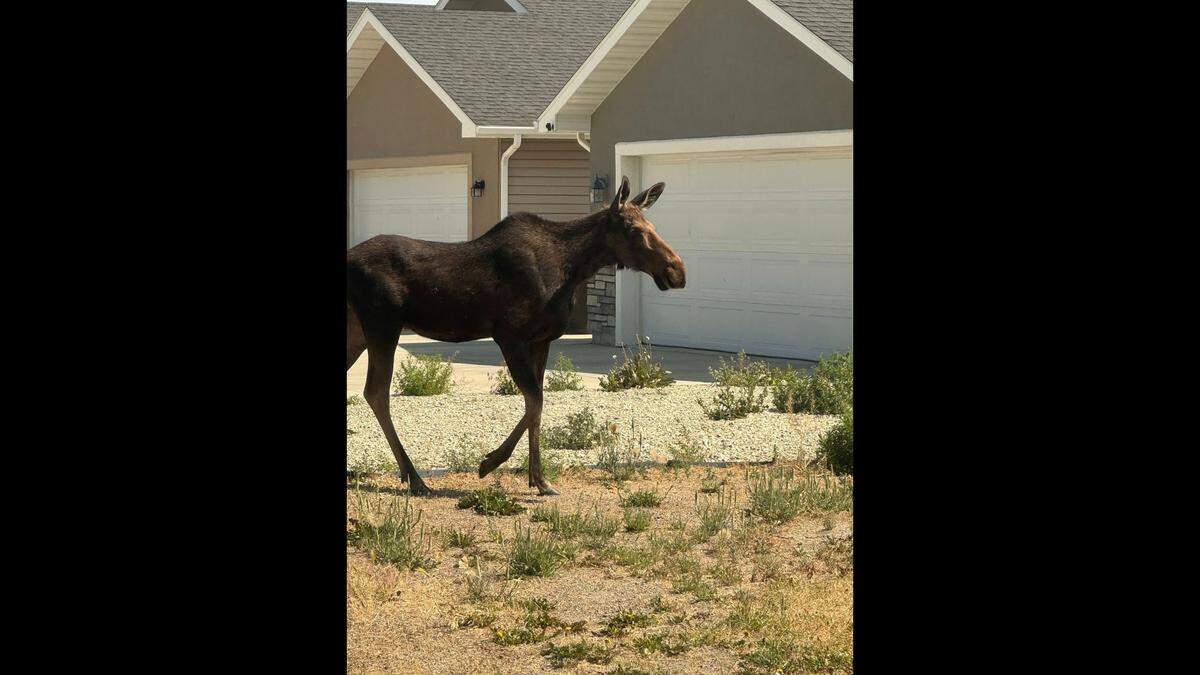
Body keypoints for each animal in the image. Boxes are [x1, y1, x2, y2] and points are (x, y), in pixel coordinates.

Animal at [346, 176, 685, 496]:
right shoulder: (509, 335)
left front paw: (533, 477)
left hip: (357, 332)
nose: (677, 271)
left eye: (652, 226)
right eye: (634, 229)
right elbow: (534, 399)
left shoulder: (541, 339)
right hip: (382, 325)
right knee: (376, 392)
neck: (572, 270)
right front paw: (497, 464)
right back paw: (414, 477)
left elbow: (536, 401)